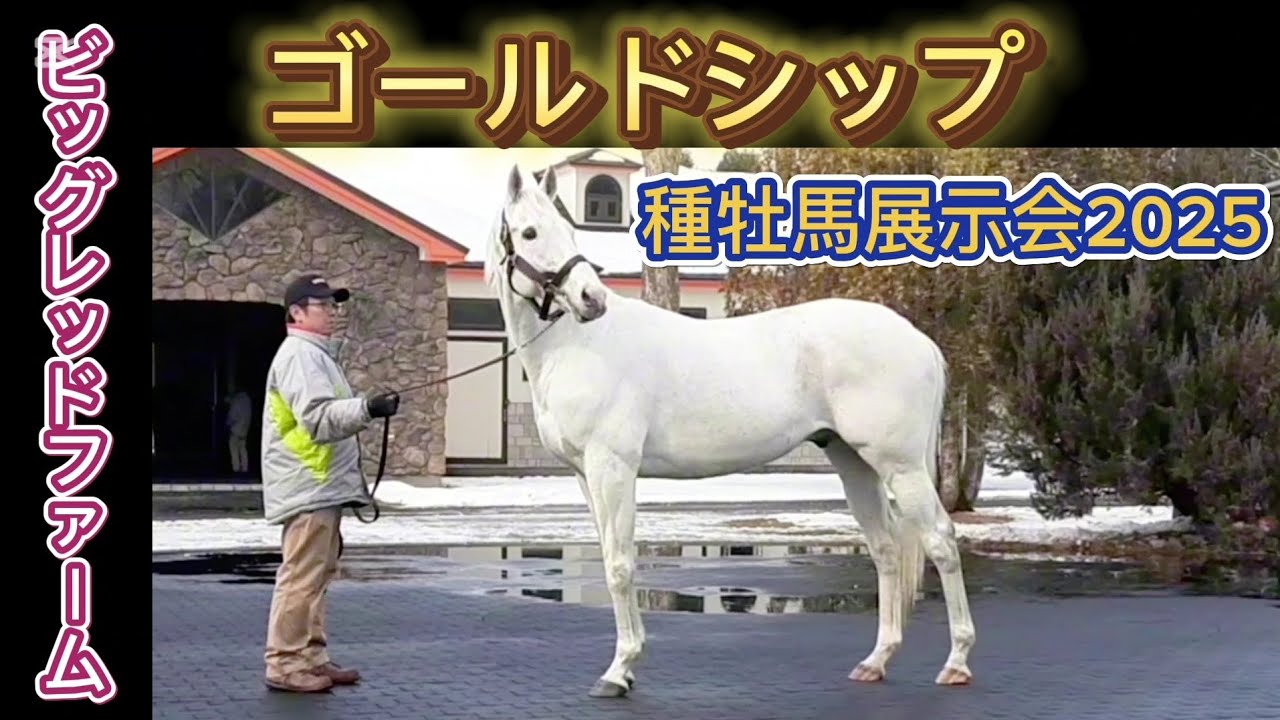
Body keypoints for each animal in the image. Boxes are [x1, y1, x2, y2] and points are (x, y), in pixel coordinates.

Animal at [483, 164, 977, 698]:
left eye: (566, 231)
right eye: (531, 233)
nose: (591, 299)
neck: (579, 344)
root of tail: (919, 340)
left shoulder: (612, 467)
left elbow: (619, 565)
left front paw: (618, 670)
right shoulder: (584, 474)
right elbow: (614, 557)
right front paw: (626, 666)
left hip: (899, 465)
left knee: (940, 541)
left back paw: (956, 663)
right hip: (853, 462)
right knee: (885, 550)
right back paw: (876, 660)